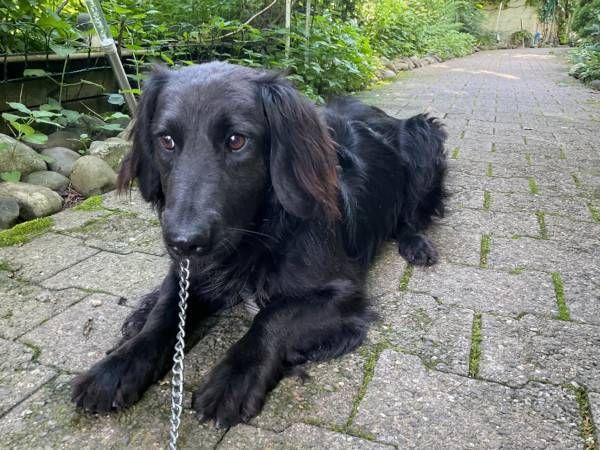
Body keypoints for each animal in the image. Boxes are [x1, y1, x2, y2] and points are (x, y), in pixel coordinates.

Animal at [71, 61, 447, 427]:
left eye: (237, 141)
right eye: (166, 141)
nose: (183, 242)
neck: (258, 233)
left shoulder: (343, 292)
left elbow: (272, 316)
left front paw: (234, 378)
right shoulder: (190, 272)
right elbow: (165, 315)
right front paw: (117, 367)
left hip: (424, 134)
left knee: (412, 215)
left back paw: (416, 244)